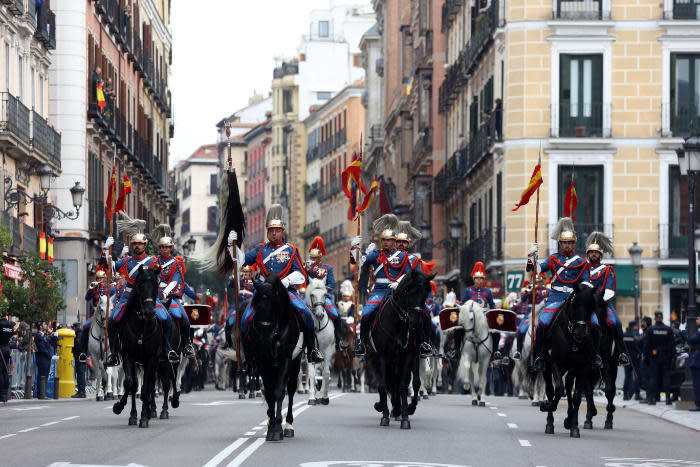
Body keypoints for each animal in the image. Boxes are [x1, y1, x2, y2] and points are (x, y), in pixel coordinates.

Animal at [111, 266, 162, 430]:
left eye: (156, 285)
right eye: (140, 285)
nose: (150, 312)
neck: (141, 325)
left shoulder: (150, 358)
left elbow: (145, 389)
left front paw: (144, 417)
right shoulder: (128, 356)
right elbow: (130, 384)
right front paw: (121, 408)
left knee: (150, 385)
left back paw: (149, 411)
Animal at [242, 274, 302, 442]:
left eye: (274, 304)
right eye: (256, 306)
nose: (264, 341)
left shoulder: (285, 360)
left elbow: (279, 392)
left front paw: (277, 429)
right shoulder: (263, 362)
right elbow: (269, 393)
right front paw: (272, 426)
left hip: (295, 365)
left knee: (291, 390)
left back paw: (288, 425)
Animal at [366, 270, 432, 432]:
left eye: (425, 295)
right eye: (409, 292)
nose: (416, 323)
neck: (396, 323)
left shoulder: (408, 356)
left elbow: (404, 386)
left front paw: (405, 417)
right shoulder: (382, 357)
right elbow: (383, 386)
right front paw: (384, 415)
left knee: (409, 383)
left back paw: (401, 409)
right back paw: (387, 407)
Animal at [540, 284, 600, 440]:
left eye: (591, 306)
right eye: (575, 304)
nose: (580, 333)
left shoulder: (582, 367)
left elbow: (577, 397)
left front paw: (574, 427)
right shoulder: (555, 363)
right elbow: (558, 390)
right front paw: (547, 406)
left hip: (571, 369)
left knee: (568, 387)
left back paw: (569, 418)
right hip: (547, 367)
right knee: (551, 390)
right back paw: (550, 423)